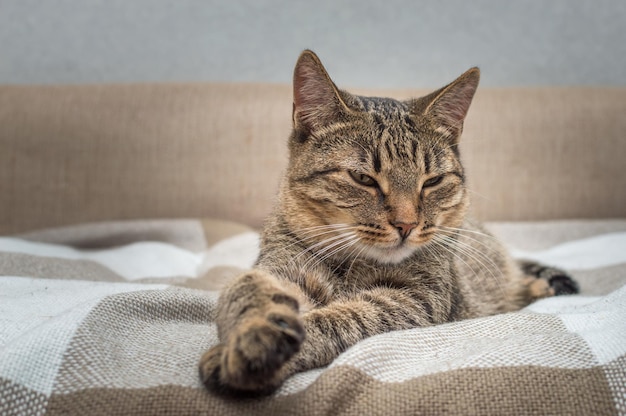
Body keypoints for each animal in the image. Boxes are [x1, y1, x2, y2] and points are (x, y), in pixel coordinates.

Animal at [199, 50, 576, 394]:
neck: (351, 264)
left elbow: (344, 318)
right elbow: (244, 286)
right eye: (362, 178)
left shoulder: (416, 300)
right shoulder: (279, 267)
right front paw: (252, 332)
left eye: (432, 181)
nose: (406, 224)